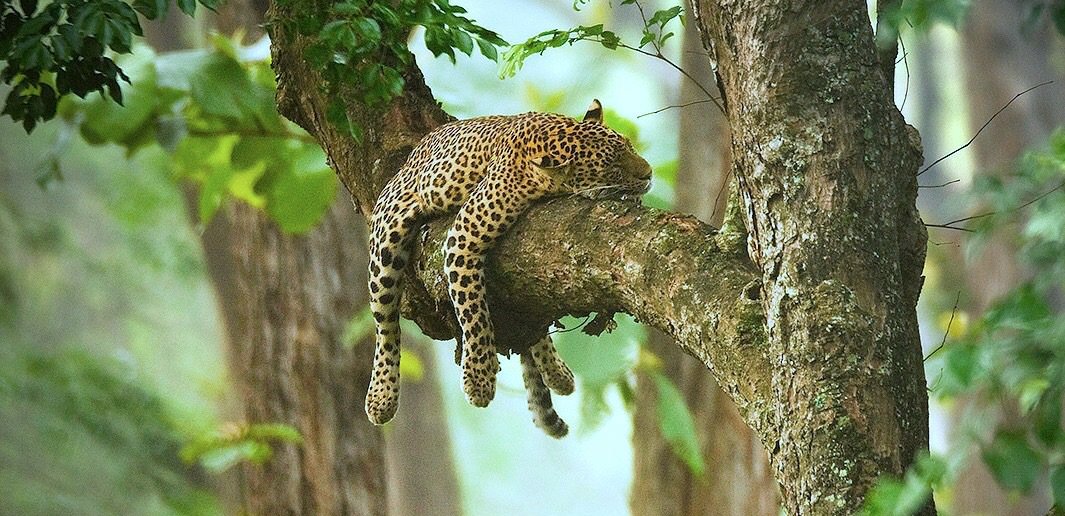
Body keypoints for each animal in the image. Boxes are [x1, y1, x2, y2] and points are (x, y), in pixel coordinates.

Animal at [364, 99, 652, 437]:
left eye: (630, 146)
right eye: (612, 167)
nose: (649, 173)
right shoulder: (463, 236)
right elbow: (473, 311)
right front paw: (479, 379)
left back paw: (557, 373)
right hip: (387, 235)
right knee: (385, 323)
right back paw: (381, 398)